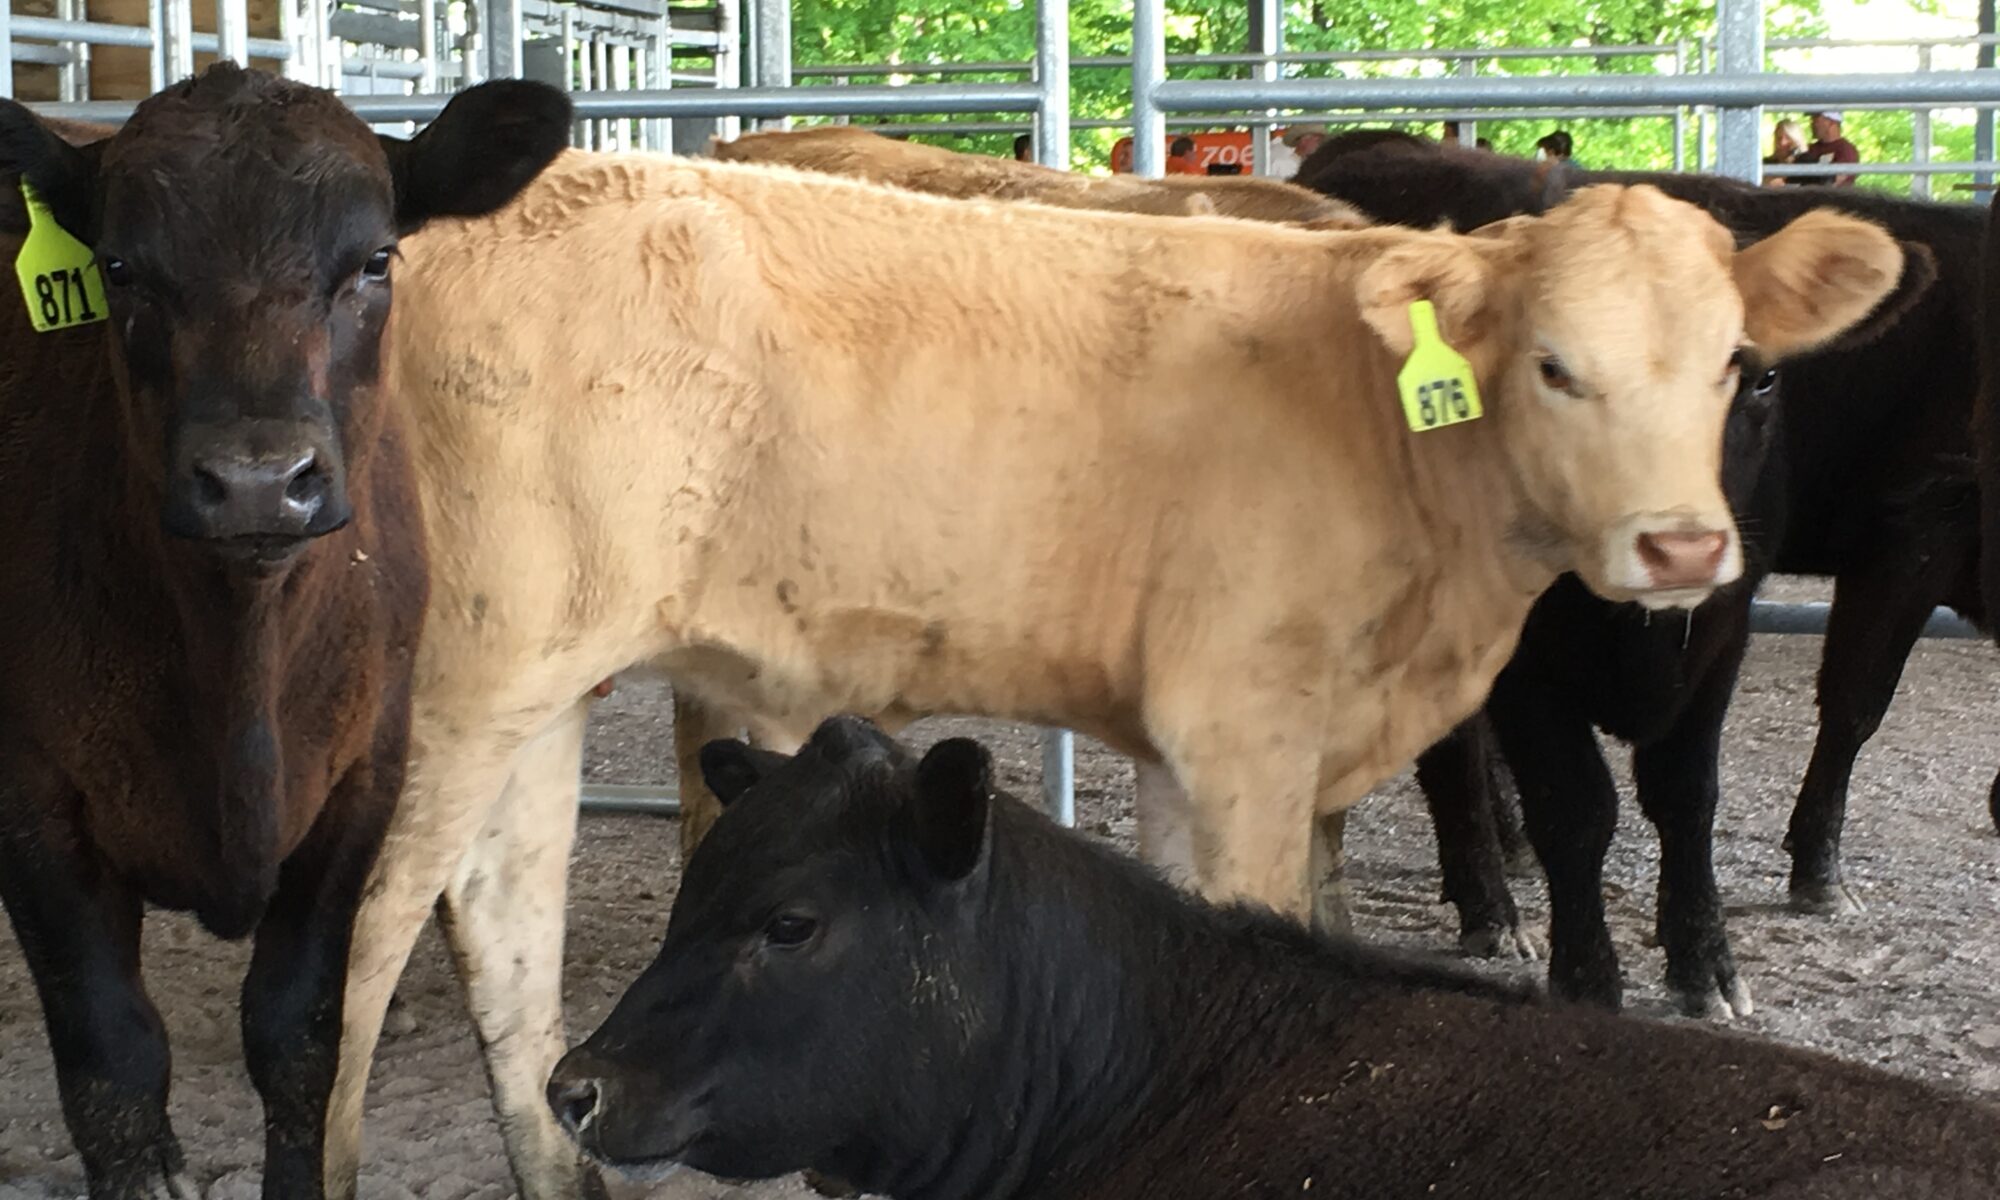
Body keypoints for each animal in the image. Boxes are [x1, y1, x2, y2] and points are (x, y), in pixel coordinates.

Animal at [0, 65, 569, 1200]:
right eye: (119, 268)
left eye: (376, 259)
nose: (259, 480)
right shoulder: (31, 798)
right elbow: (112, 1069)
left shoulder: (363, 777)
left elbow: (302, 1039)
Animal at [1295, 130, 1979, 1009]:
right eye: (1547, 368)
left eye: (1758, 374)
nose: (1679, 545)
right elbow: (1576, 806)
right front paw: (1588, 975)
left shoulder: (1723, 626)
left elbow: (1689, 794)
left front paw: (1705, 962)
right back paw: (1491, 907)